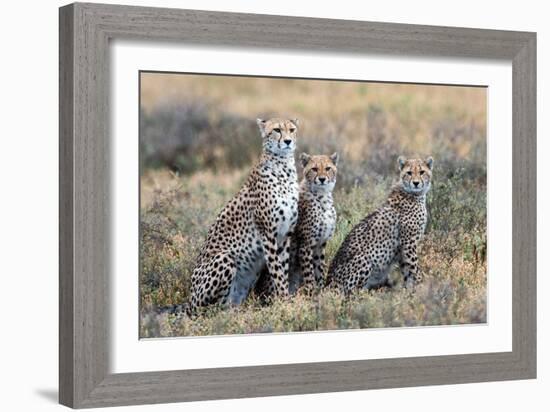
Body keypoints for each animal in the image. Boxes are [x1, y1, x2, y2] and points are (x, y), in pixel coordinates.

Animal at [191, 117, 302, 310]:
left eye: (292, 129)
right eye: (277, 130)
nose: (288, 141)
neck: (284, 168)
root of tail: (188, 300)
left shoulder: (285, 235)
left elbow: (283, 269)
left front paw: (282, 298)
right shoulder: (268, 234)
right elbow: (277, 272)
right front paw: (285, 301)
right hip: (224, 258)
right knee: (209, 309)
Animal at [328, 154, 436, 292]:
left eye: (422, 172)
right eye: (409, 173)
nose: (416, 183)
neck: (414, 194)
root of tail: (326, 285)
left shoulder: (402, 250)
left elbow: (408, 272)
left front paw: (409, 291)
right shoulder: (408, 244)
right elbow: (415, 269)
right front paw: (423, 287)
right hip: (365, 259)